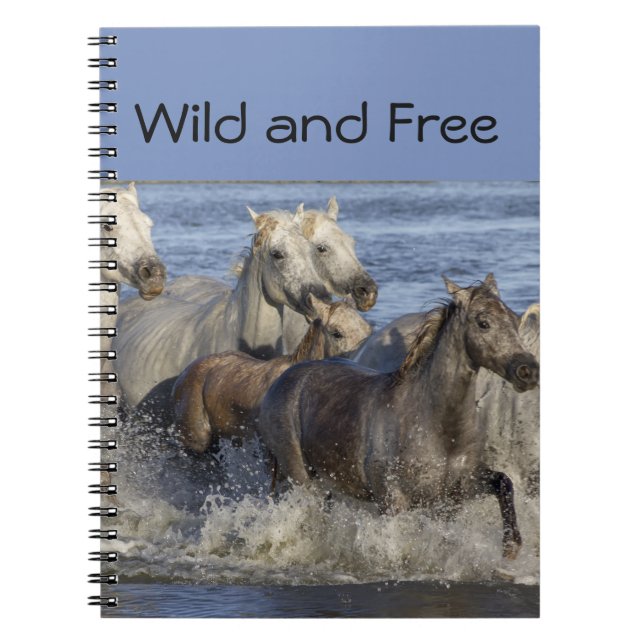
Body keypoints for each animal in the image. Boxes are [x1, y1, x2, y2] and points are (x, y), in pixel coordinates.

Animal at [259, 274, 539, 559]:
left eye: (514, 320)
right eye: (483, 323)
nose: (528, 370)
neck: (436, 427)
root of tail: (284, 378)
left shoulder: (456, 493)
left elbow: (503, 482)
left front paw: (511, 546)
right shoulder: (393, 501)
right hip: (301, 476)